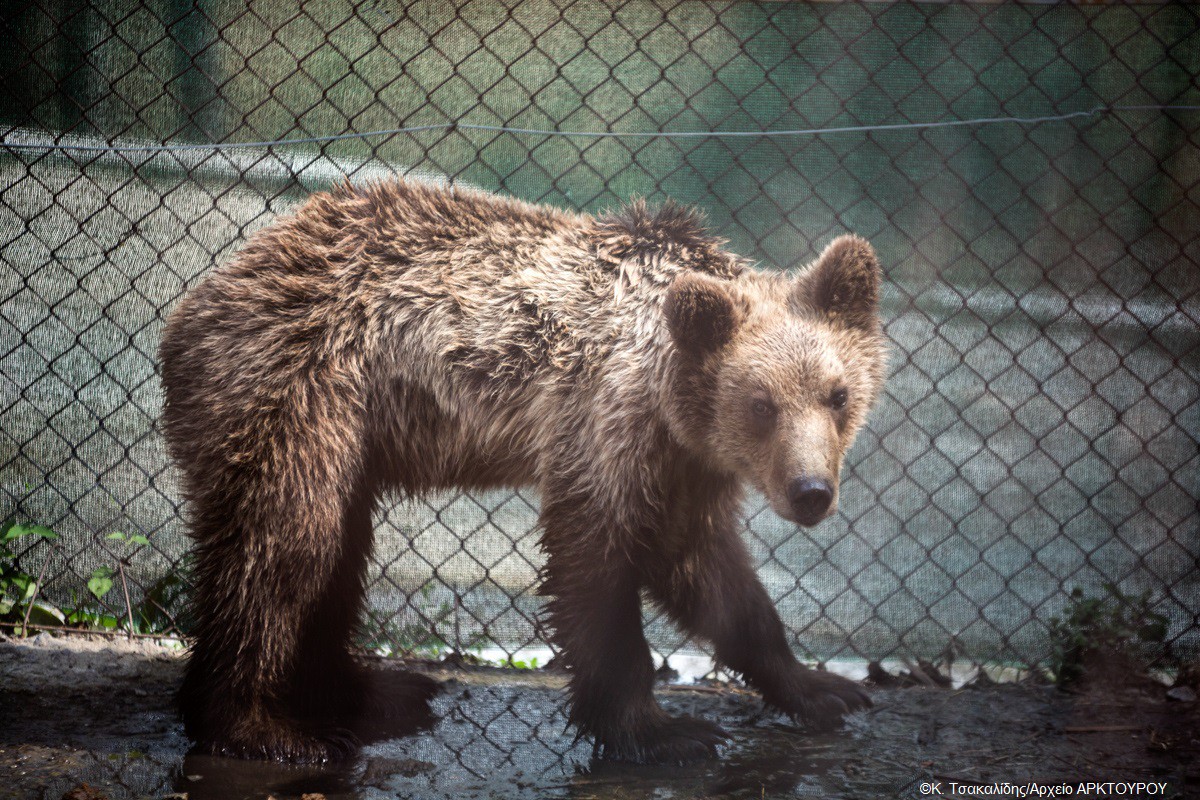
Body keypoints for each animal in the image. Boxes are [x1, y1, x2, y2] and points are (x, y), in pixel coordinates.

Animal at [159, 178, 888, 767]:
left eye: (837, 394)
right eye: (761, 404)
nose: (811, 492)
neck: (671, 397)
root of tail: (194, 306)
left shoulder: (685, 463)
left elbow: (709, 572)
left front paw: (823, 688)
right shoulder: (605, 421)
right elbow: (594, 562)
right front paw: (661, 731)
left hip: (346, 438)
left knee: (337, 551)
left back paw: (373, 691)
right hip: (297, 394)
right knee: (282, 549)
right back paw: (265, 727)